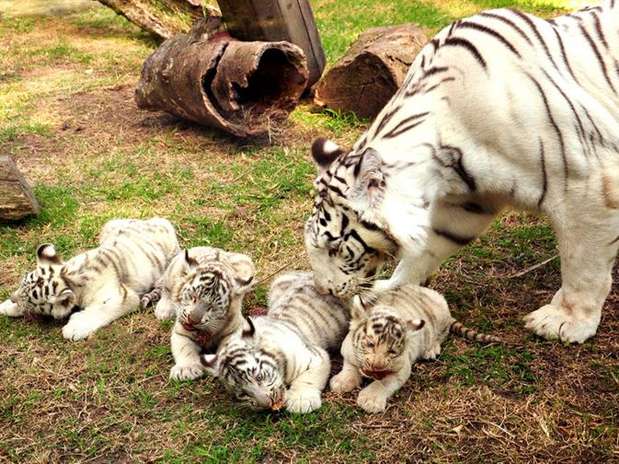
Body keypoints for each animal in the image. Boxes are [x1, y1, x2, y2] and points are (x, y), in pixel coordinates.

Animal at [306, 3, 619, 344]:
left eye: (335, 248)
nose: (324, 290)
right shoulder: (468, 203)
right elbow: (424, 252)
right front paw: (388, 292)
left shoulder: (589, 184)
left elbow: (583, 264)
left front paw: (566, 321)